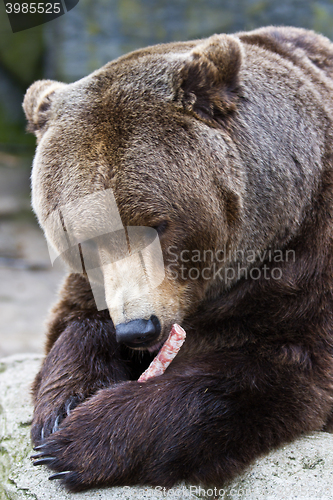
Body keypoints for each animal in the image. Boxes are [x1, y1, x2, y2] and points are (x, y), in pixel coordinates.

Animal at [22, 27, 332, 492]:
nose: (139, 329)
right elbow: (71, 324)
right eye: (84, 240)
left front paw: (82, 441)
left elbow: (277, 370)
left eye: (158, 225)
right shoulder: (91, 285)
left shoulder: (306, 266)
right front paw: (62, 407)